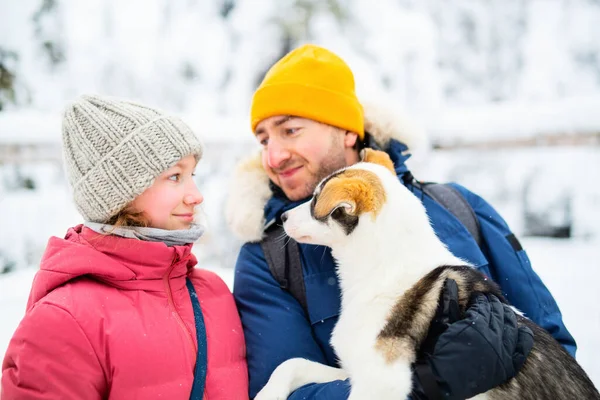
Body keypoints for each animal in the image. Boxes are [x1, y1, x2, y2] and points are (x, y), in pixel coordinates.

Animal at [254, 148, 600, 398]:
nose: (282, 217)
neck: (381, 269)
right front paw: (267, 394)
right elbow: (292, 363)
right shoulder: (355, 371)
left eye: (315, 199)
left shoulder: (382, 382)